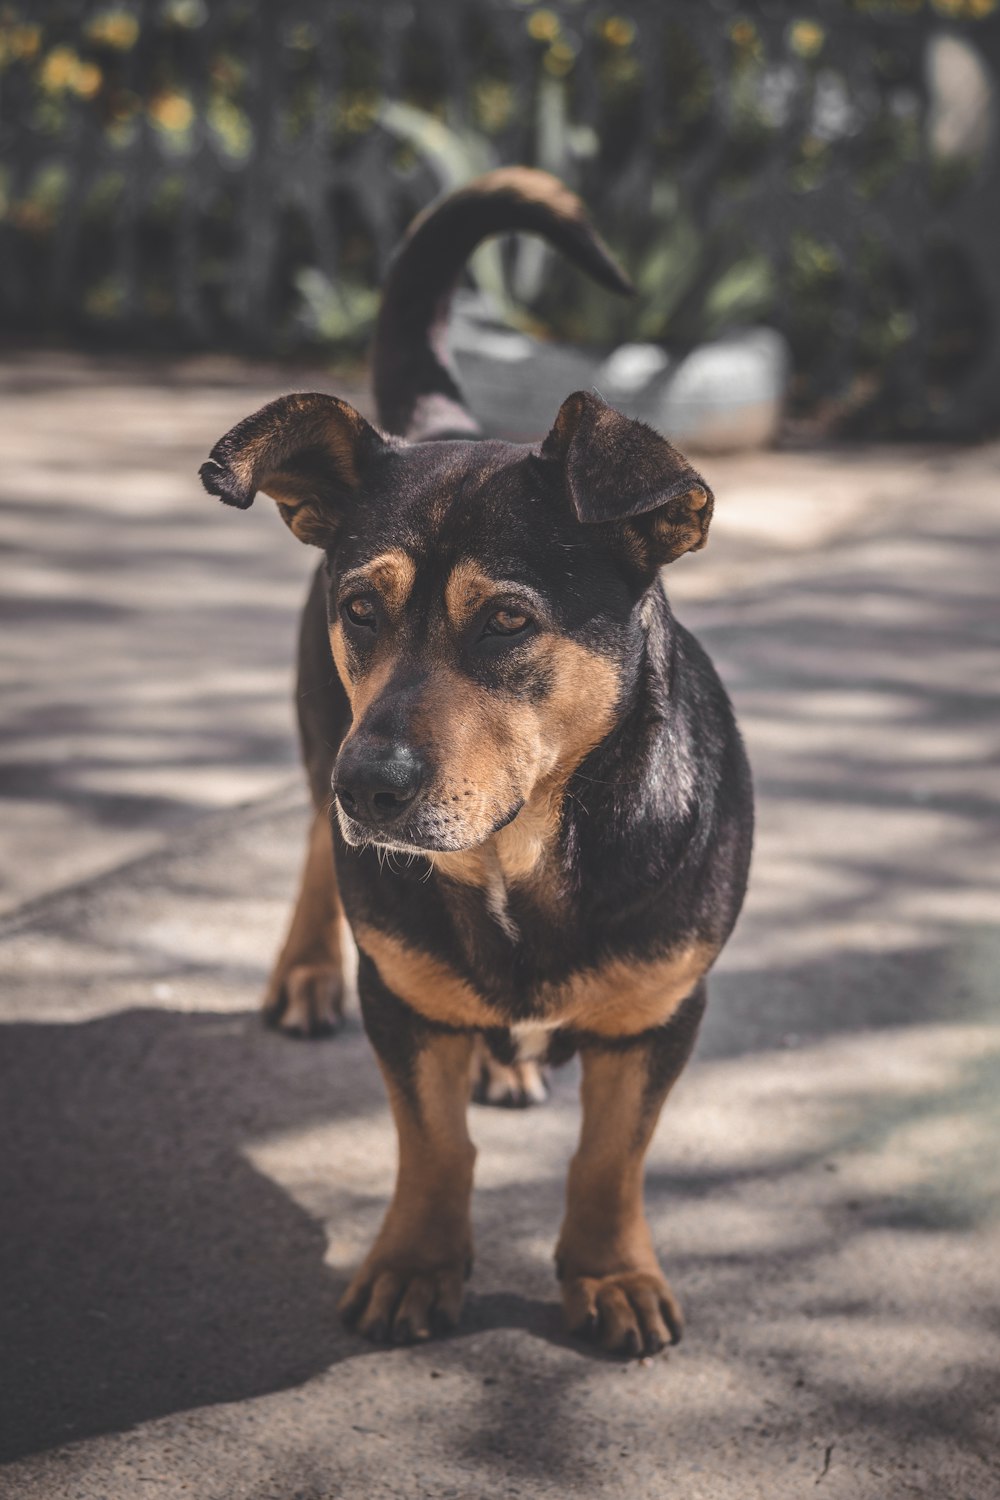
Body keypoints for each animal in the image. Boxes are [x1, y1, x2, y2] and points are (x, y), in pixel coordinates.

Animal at [200, 167, 749, 1362]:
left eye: (507, 621)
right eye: (361, 609)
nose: (371, 786)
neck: (524, 855)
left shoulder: (659, 1018)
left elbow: (610, 1159)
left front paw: (609, 1274)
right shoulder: (404, 1006)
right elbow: (433, 1145)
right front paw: (415, 1264)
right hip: (322, 730)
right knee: (312, 844)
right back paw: (305, 970)